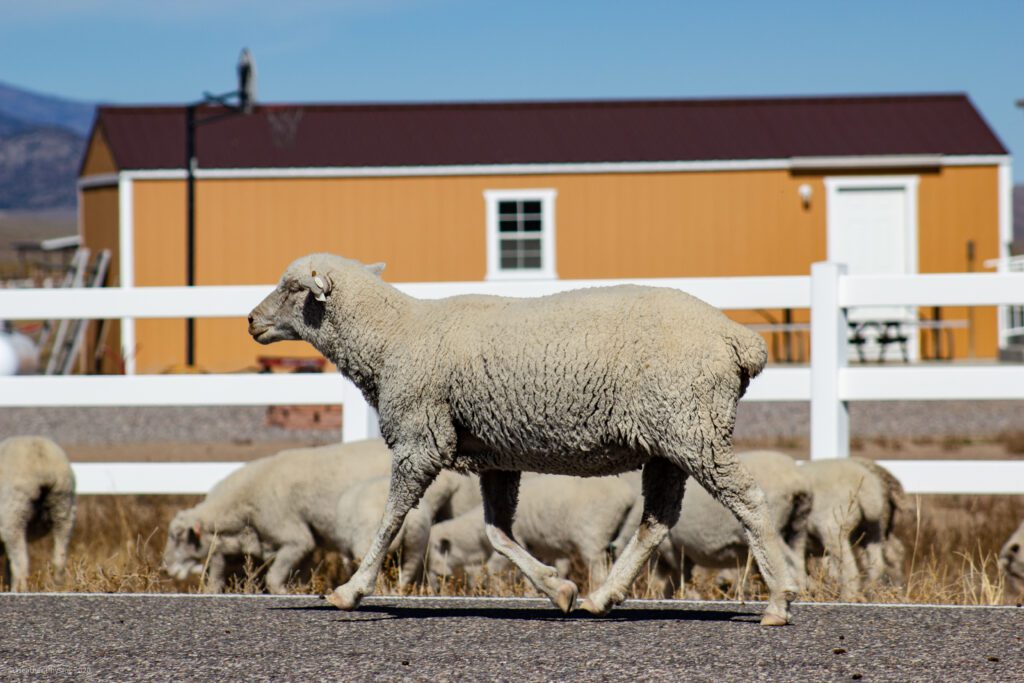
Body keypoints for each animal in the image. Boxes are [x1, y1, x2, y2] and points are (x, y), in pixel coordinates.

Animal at [0, 436, 76, 592]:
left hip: (13, 513)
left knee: (21, 564)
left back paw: (19, 591)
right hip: (63, 507)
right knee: (59, 559)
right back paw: (57, 588)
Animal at [428, 474, 638, 587]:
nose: (434, 586)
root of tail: (628, 496)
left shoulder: (518, 538)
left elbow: (493, 568)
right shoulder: (539, 547)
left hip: (592, 537)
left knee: (599, 573)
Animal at [612, 450, 811, 598]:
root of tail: (797, 483)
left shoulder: (670, 548)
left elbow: (674, 578)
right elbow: (676, 581)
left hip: (775, 525)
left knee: (791, 561)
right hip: (798, 526)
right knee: (798, 559)